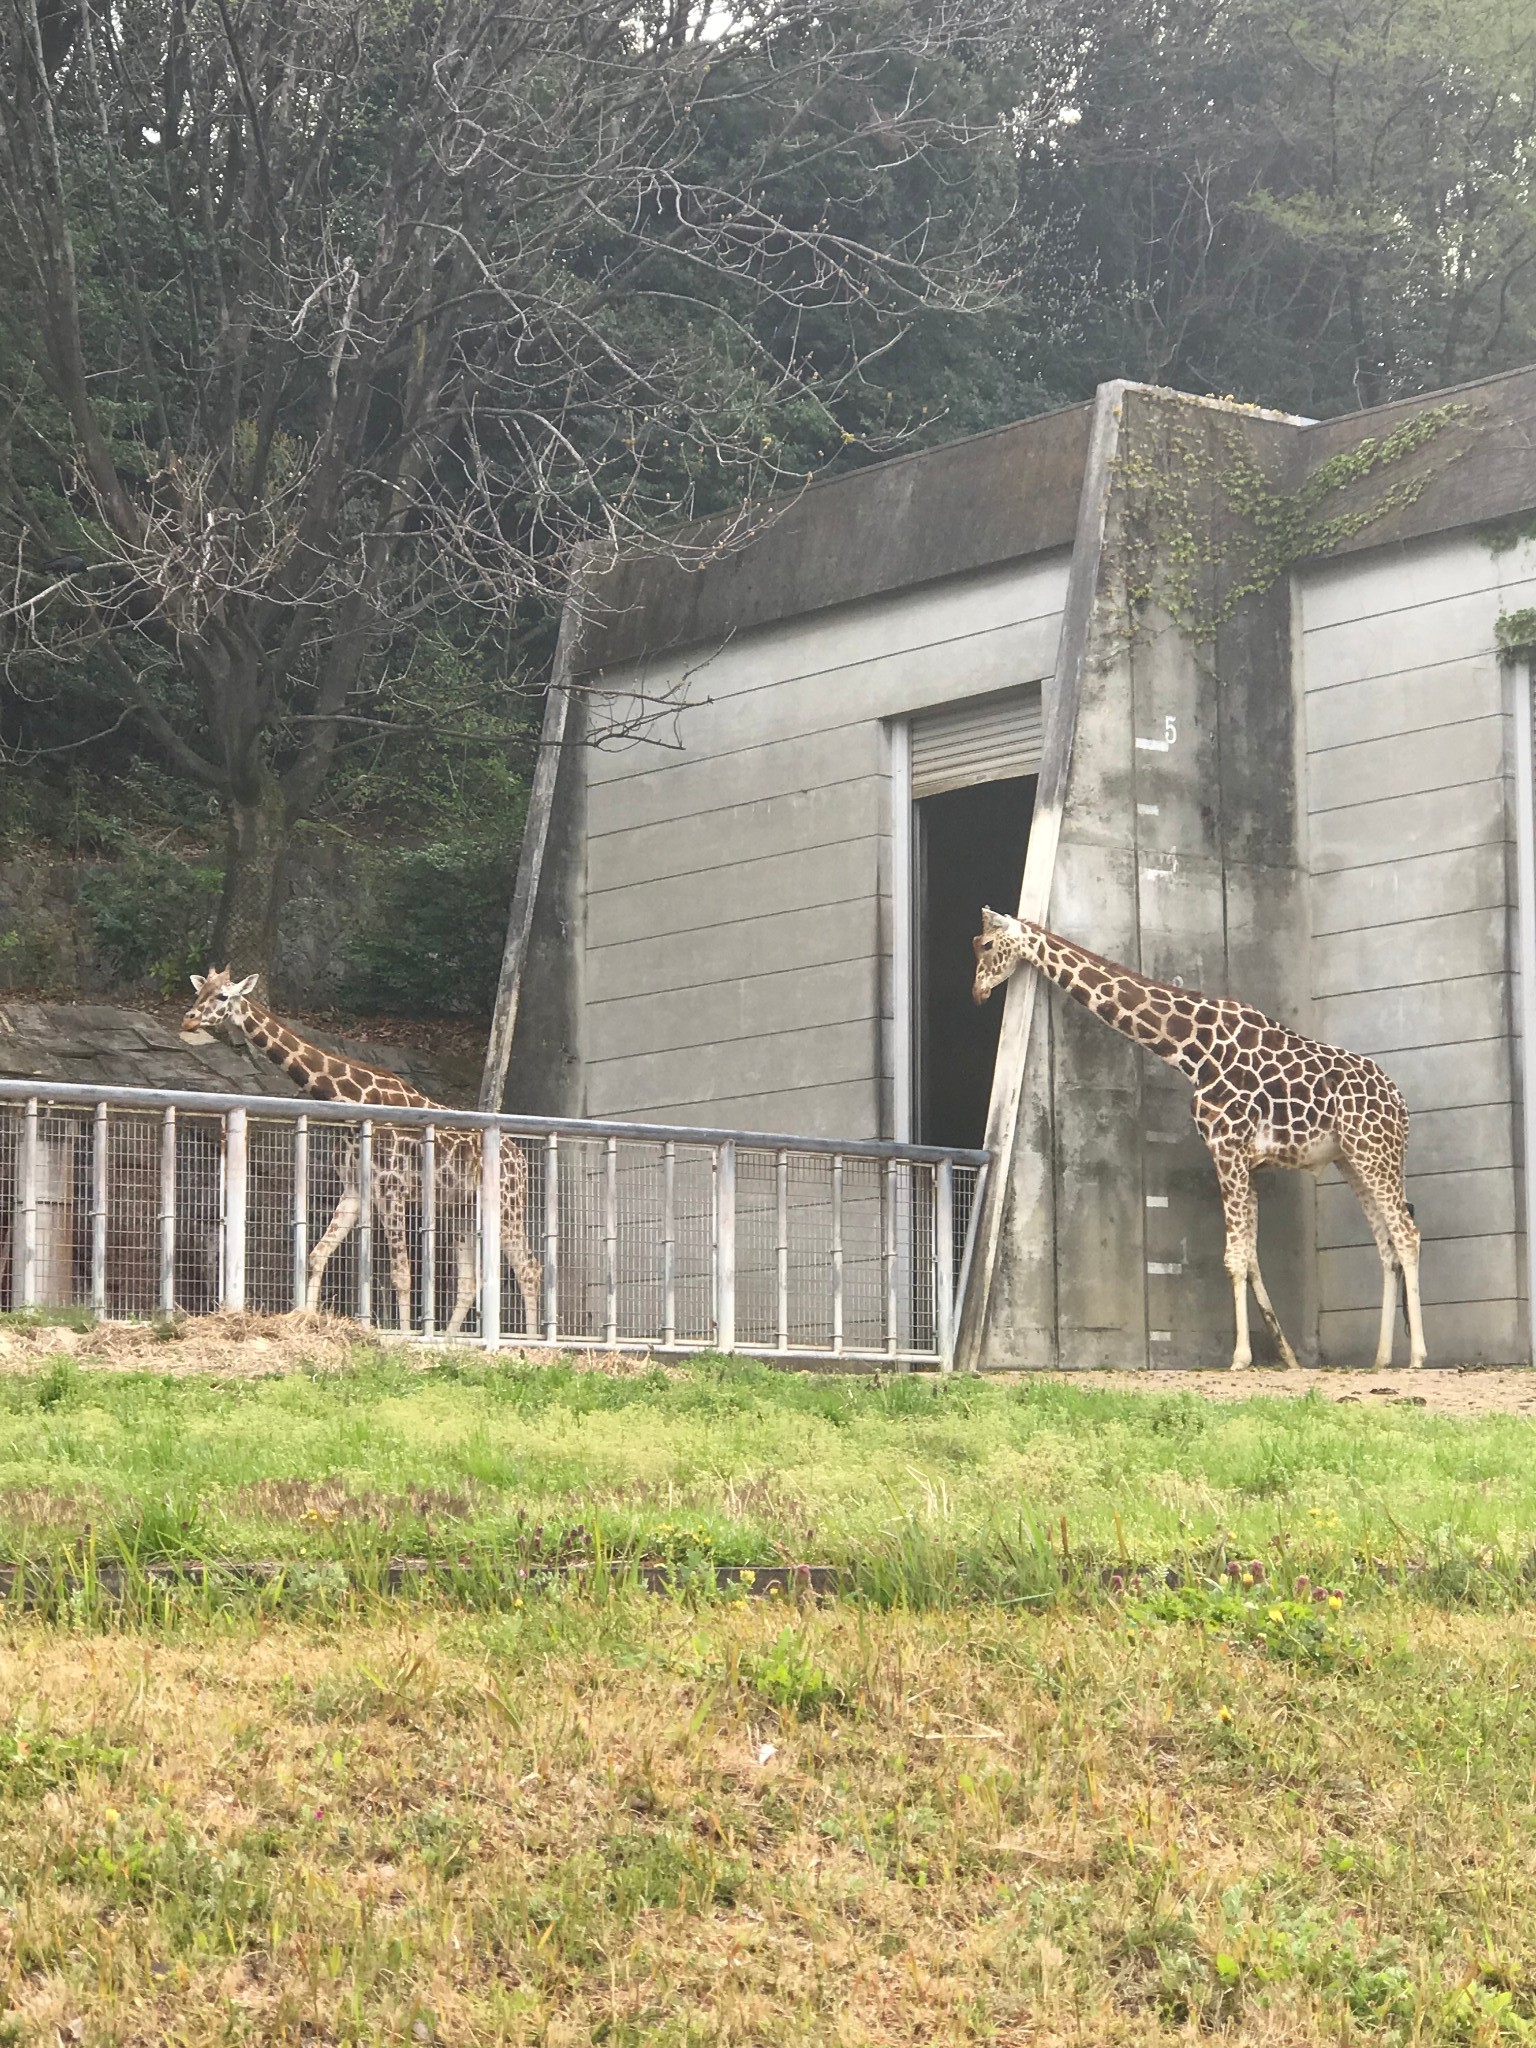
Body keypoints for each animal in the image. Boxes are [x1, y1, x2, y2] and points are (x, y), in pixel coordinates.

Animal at [181, 966, 544, 1335]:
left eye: (223, 996)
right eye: (199, 993)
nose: (189, 1019)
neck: (351, 1100)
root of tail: (521, 1158)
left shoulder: (391, 1187)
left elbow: (402, 1274)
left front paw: (403, 1335)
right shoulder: (355, 1188)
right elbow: (317, 1254)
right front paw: (307, 1317)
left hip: (507, 1202)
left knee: (528, 1267)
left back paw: (530, 1340)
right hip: (461, 1209)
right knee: (470, 1280)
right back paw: (452, 1339)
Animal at [974, 917, 1433, 1376]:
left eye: (986, 944)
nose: (978, 992)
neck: (1192, 1049)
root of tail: (1401, 1105)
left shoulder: (1225, 1146)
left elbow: (1234, 1256)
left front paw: (1240, 1357)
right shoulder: (1247, 1160)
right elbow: (1249, 1255)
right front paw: (1286, 1356)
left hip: (1375, 1152)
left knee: (1407, 1234)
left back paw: (1417, 1357)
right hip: (1351, 1160)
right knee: (1386, 1245)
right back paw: (1381, 1359)